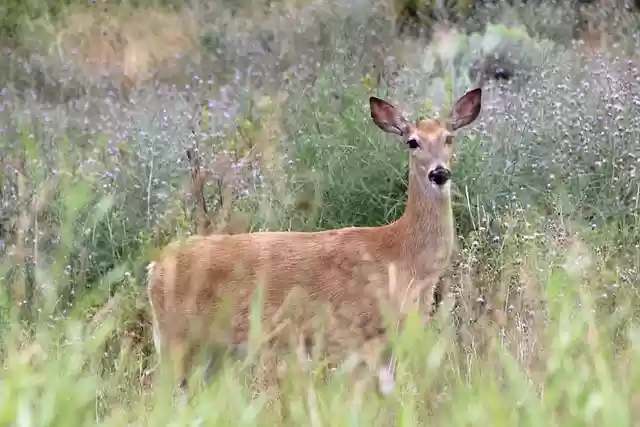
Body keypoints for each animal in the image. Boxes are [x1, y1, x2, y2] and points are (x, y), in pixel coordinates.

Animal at [146, 87, 482, 400]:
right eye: (412, 141)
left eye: (449, 138)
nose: (439, 173)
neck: (401, 256)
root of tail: (154, 268)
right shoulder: (360, 332)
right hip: (177, 337)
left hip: (211, 351)